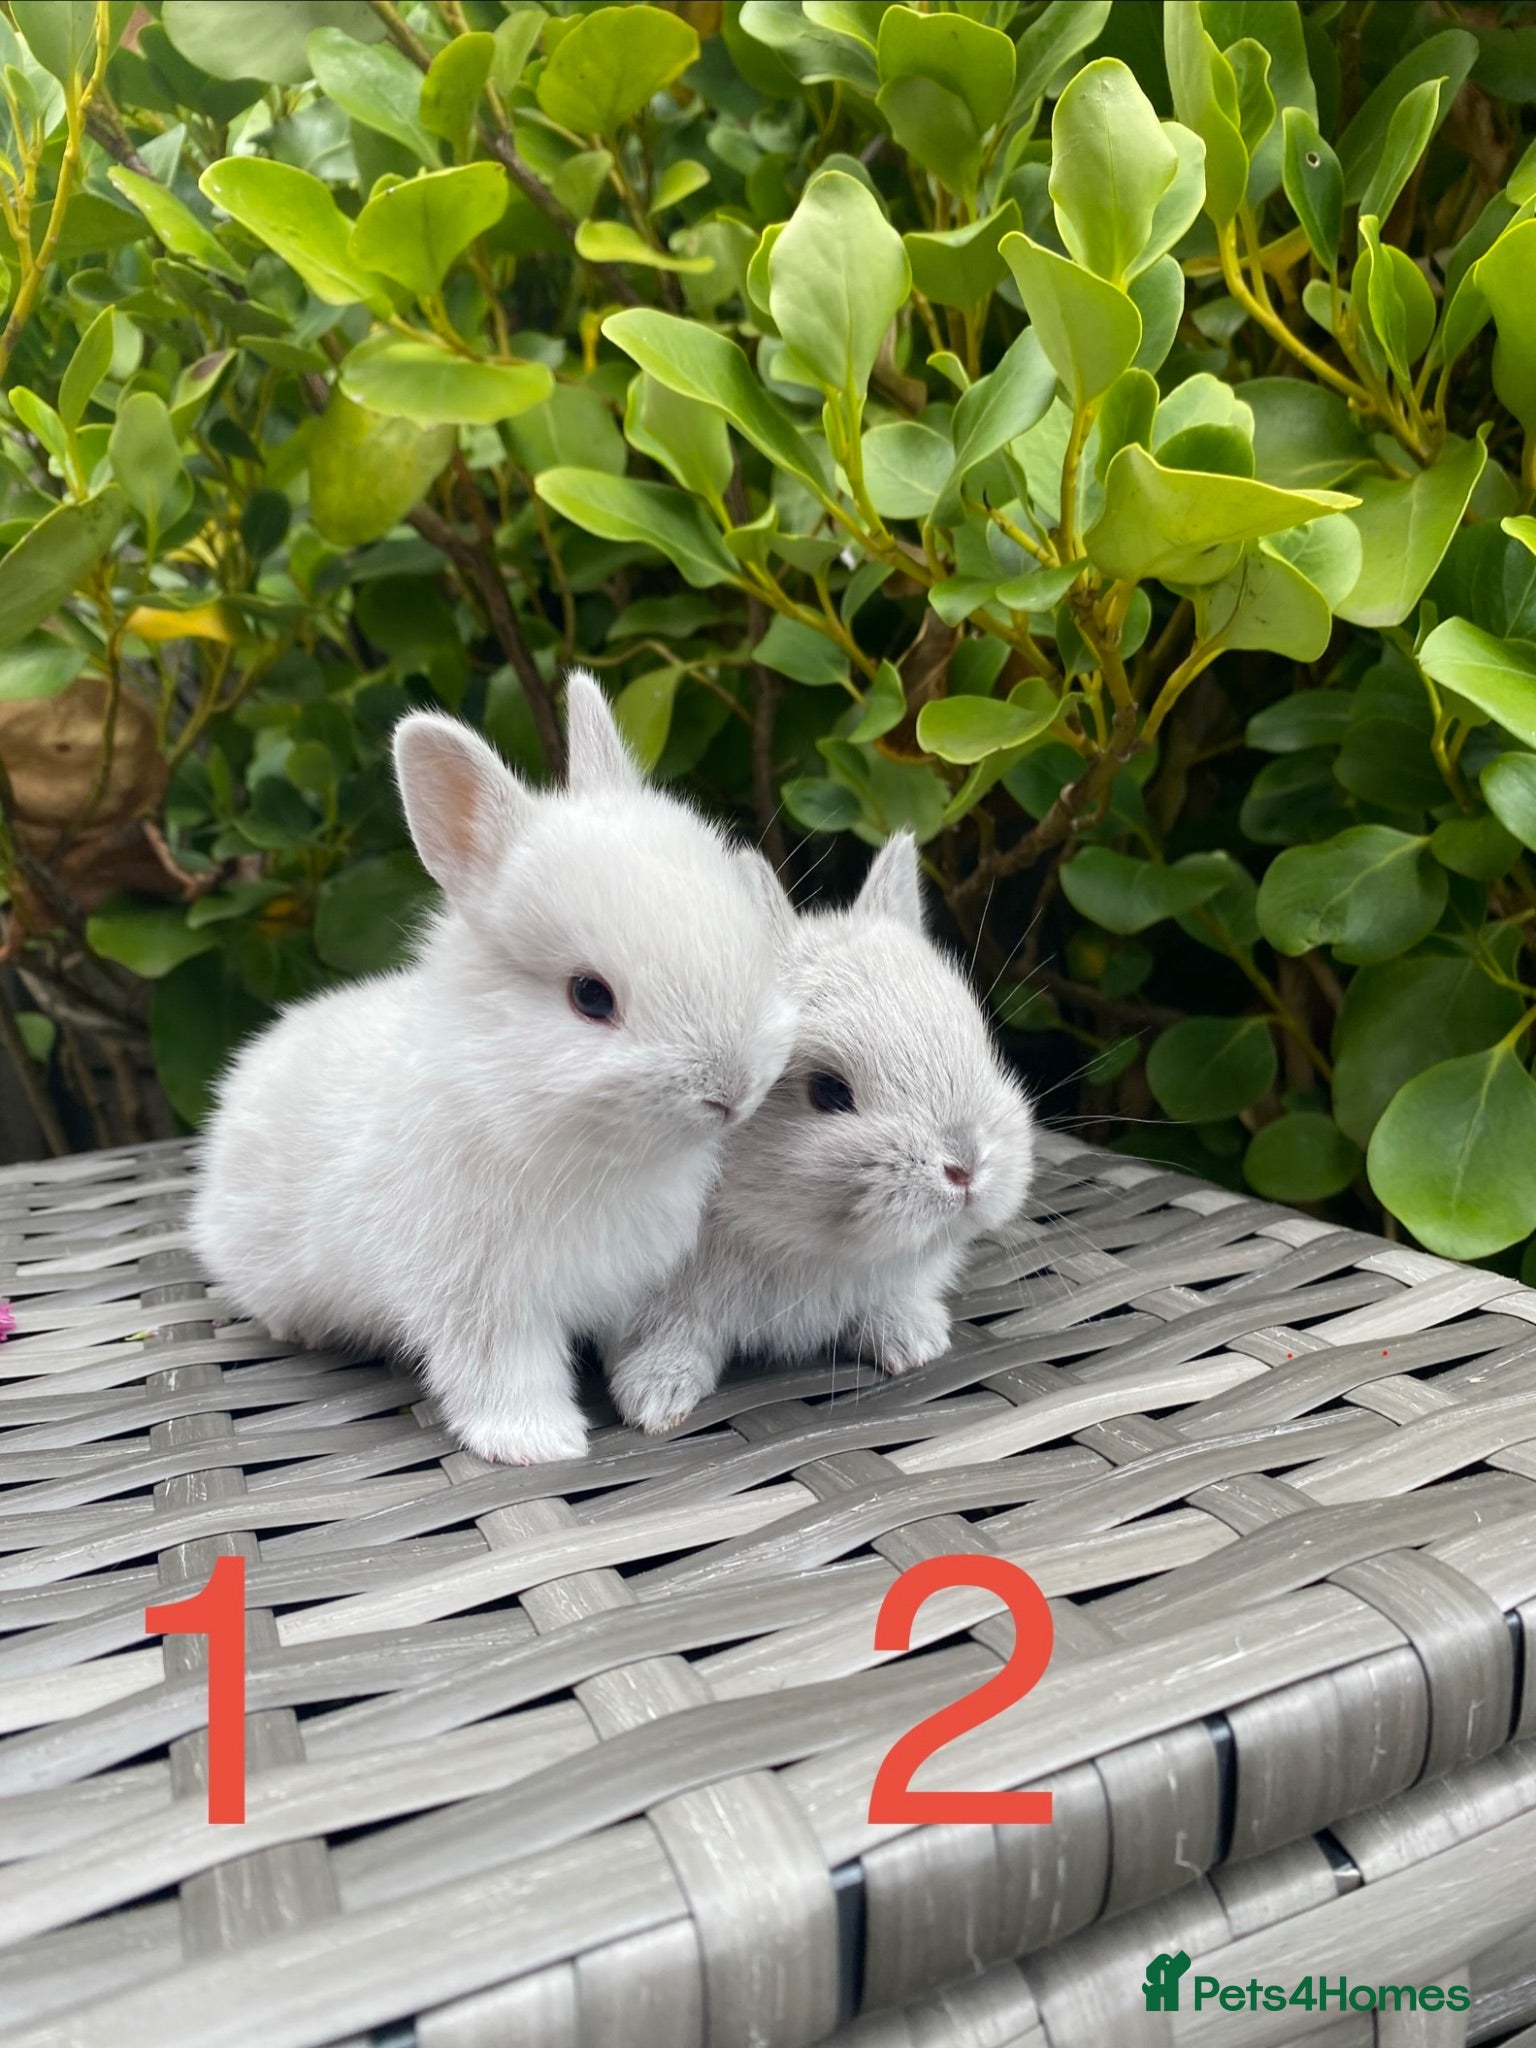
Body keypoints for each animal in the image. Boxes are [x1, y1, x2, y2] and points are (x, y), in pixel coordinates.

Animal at [191, 670, 797, 1466]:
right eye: (589, 996)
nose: (732, 1090)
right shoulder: (483, 1298)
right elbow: (502, 1371)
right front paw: (540, 1444)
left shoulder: (635, 1283)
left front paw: (648, 1399)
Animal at [604, 832, 1036, 1435]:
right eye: (828, 1090)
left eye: (979, 1045)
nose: (966, 1168)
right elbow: (672, 1337)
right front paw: (655, 1402)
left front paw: (915, 1345)